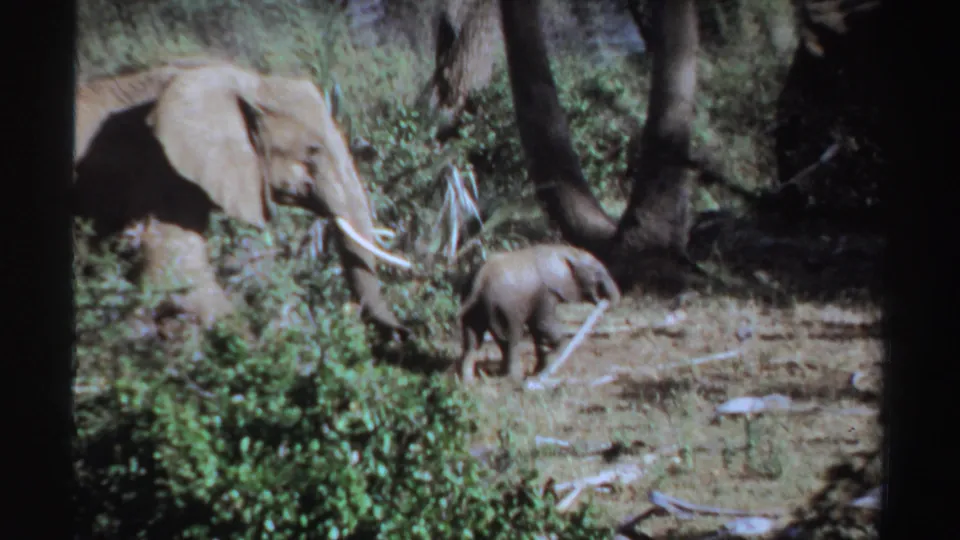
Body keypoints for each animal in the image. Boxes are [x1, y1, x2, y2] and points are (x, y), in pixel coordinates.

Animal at [456, 243, 621, 383]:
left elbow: (536, 330)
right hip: (502, 305)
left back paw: (468, 381)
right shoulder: (545, 292)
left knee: (472, 338)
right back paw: (514, 379)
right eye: (597, 273)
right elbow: (542, 324)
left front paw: (539, 369)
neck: (566, 251)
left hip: (474, 300)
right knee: (510, 336)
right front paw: (554, 355)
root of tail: (480, 277)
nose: (602, 301)